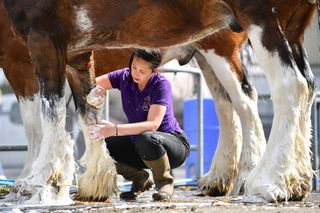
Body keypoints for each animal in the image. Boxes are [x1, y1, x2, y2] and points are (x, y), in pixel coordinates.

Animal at [1, 0, 318, 205]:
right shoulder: (73, 53)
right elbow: (83, 112)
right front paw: (96, 181)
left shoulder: (39, 40)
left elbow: (45, 115)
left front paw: (40, 183)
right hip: (260, 36)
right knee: (241, 101)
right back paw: (282, 180)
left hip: (247, 29)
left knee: (277, 90)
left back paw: (267, 180)